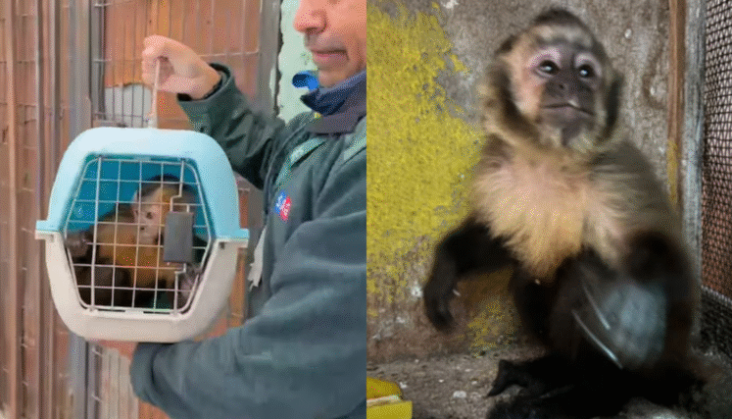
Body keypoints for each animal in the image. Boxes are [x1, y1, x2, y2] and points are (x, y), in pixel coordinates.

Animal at [65, 174, 206, 310]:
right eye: (137, 212)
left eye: (149, 215)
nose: (141, 227)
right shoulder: (119, 221)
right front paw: (77, 248)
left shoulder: (181, 250)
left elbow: (179, 307)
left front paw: (187, 289)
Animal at [422, 8, 709, 418]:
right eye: (549, 67)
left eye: (586, 72)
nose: (572, 86)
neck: (551, 159)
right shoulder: (497, 169)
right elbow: (501, 237)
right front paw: (446, 266)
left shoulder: (614, 175)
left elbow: (666, 254)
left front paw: (640, 298)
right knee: (529, 276)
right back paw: (552, 371)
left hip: (659, 357)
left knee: (586, 271)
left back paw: (592, 396)